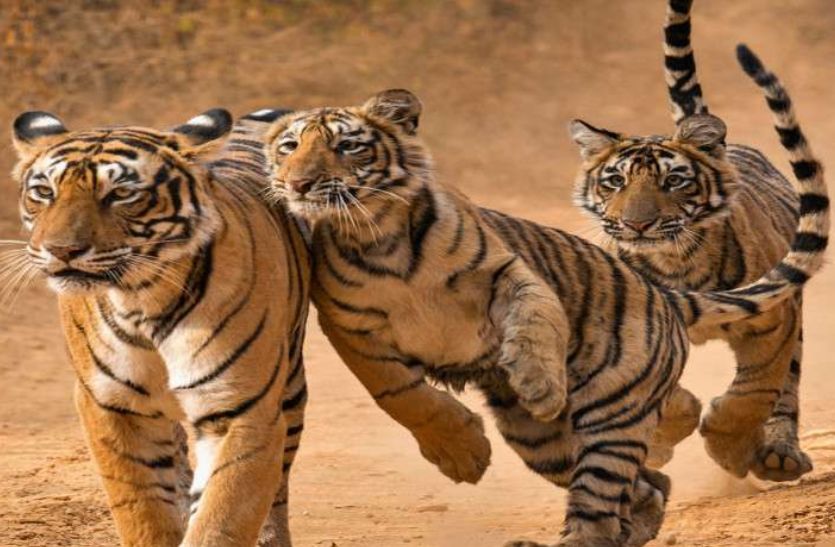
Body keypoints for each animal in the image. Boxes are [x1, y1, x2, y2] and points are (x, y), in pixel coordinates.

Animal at [10, 107, 310, 546]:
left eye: (120, 194)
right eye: (44, 192)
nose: (61, 250)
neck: (142, 302)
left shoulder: (241, 409)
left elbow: (222, 518)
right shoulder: (113, 406)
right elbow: (144, 510)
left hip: (289, 387)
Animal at [257, 56, 828, 546]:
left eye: (346, 147)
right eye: (289, 147)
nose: (298, 183)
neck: (380, 234)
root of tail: (664, 295)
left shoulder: (509, 272)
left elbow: (534, 318)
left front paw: (538, 383)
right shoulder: (351, 329)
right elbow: (400, 393)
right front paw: (462, 455)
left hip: (611, 414)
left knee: (603, 499)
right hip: (543, 443)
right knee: (643, 489)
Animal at [571, 0, 820, 483]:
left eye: (673, 181)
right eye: (614, 181)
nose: (637, 225)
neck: (675, 262)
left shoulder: (775, 317)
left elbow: (754, 392)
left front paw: (729, 449)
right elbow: (662, 395)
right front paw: (666, 435)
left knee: (786, 389)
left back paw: (778, 454)